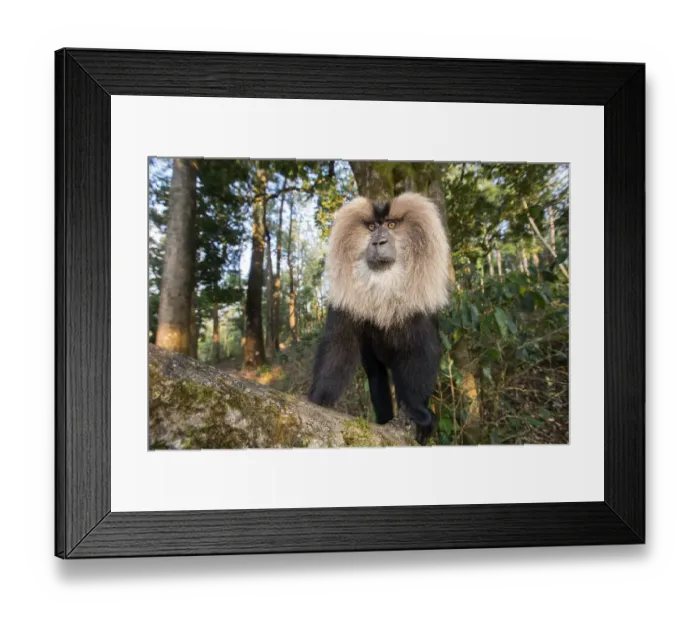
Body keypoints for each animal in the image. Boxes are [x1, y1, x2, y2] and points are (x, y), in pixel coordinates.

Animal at [307, 192, 451, 445]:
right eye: (372, 227)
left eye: (392, 225)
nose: (378, 242)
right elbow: (339, 346)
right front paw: (319, 400)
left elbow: (420, 352)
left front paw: (419, 413)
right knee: (377, 376)